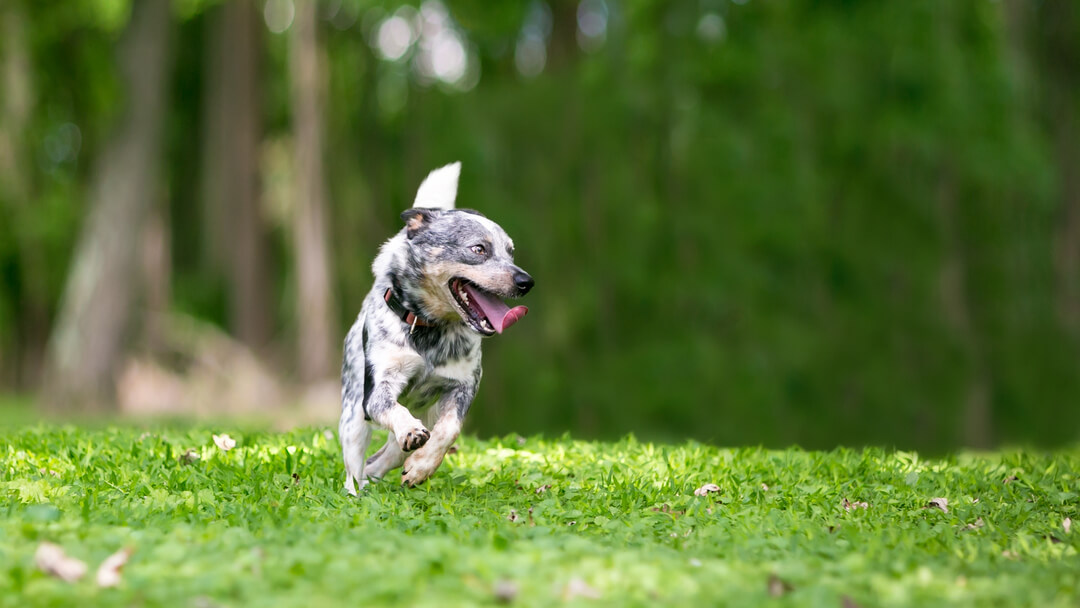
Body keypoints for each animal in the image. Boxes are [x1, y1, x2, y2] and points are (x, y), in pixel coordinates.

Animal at [339, 163, 533, 494]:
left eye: (510, 252)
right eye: (479, 249)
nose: (525, 281)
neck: (430, 329)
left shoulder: (463, 386)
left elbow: (449, 429)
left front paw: (421, 467)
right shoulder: (377, 391)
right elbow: (393, 410)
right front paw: (410, 431)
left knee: (382, 459)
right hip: (353, 418)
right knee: (355, 467)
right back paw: (356, 492)